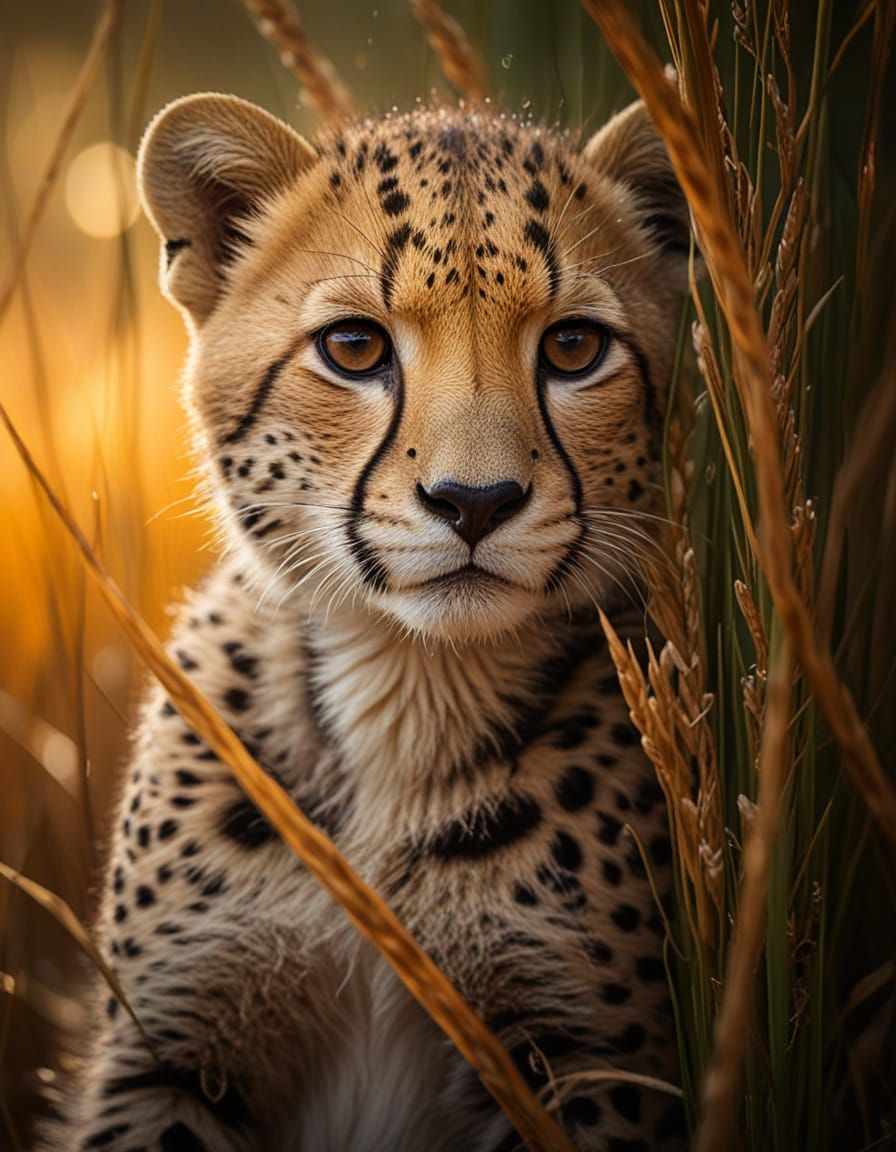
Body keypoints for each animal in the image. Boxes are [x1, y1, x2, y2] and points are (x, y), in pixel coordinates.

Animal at [42, 87, 693, 1152]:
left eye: (573, 347)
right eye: (354, 348)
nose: (475, 502)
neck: (406, 688)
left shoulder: (590, 1063)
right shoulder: (169, 1054)